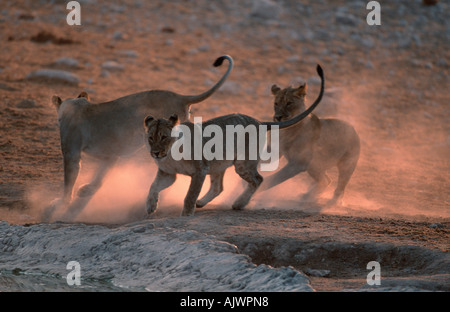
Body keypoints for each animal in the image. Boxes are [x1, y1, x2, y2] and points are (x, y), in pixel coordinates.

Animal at [44, 55, 234, 222]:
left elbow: (69, 180)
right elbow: (101, 176)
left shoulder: (71, 152)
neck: (78, 106)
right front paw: (87, 191)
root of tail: (180, 96)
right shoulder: (111, 154)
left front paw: (60, 203)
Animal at [144, 65, 324, 217]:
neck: (170, 154)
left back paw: (238, 203)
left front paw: (186, 214)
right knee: (218, 187)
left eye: (164, 137)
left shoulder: (200, 170)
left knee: (258, 180)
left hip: (242, 164)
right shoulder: (168, 173)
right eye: (151, 138)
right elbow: (153, 186)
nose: (155, 153)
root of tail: (259, 122)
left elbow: (189, 195)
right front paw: (150, 206)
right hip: (217, 164)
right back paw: (201, 203)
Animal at [258, 72, 360, 206]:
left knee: (339, 188)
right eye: (276, 103)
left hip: (346, 164)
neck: (287, 130)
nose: (277, 117)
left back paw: (332, 202)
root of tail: (353, 128)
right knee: (326, 180)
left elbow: (273, 179)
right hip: (314, 166)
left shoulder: (298, 163)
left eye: (289, 103)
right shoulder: (275, 150)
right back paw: (307, 196)